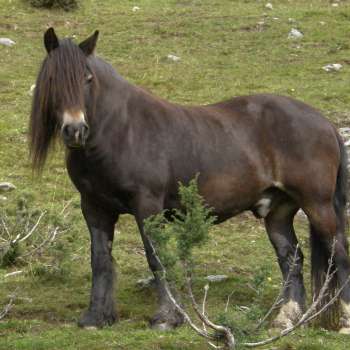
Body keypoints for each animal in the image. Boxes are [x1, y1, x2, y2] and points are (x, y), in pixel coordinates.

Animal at [29, 28, 350, 334]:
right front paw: (96, 317)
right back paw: (286, 320)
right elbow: (99, 259)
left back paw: (344, 321)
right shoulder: (95, 208)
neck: (121, 131)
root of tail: (324, 123)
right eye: (53, 78)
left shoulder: (147, 207)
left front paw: (166, 318)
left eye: (87, 78)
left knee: (338, 254)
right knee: (291, 259)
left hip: (317, 205)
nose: (75, 129)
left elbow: (156, 258)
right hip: (278, 212)